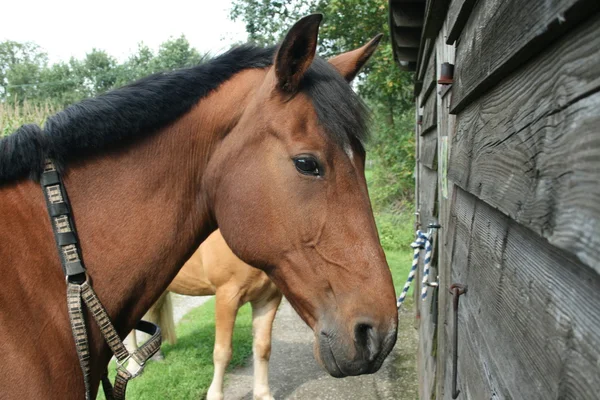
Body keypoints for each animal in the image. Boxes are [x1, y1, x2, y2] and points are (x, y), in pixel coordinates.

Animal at [126, 228, 282, 400]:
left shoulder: (268, 299)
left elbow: (263, 348)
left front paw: (263, 394)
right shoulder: (227, 296)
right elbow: (223, 352)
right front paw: (214, 395)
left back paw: (155, 355)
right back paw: (133, 366)